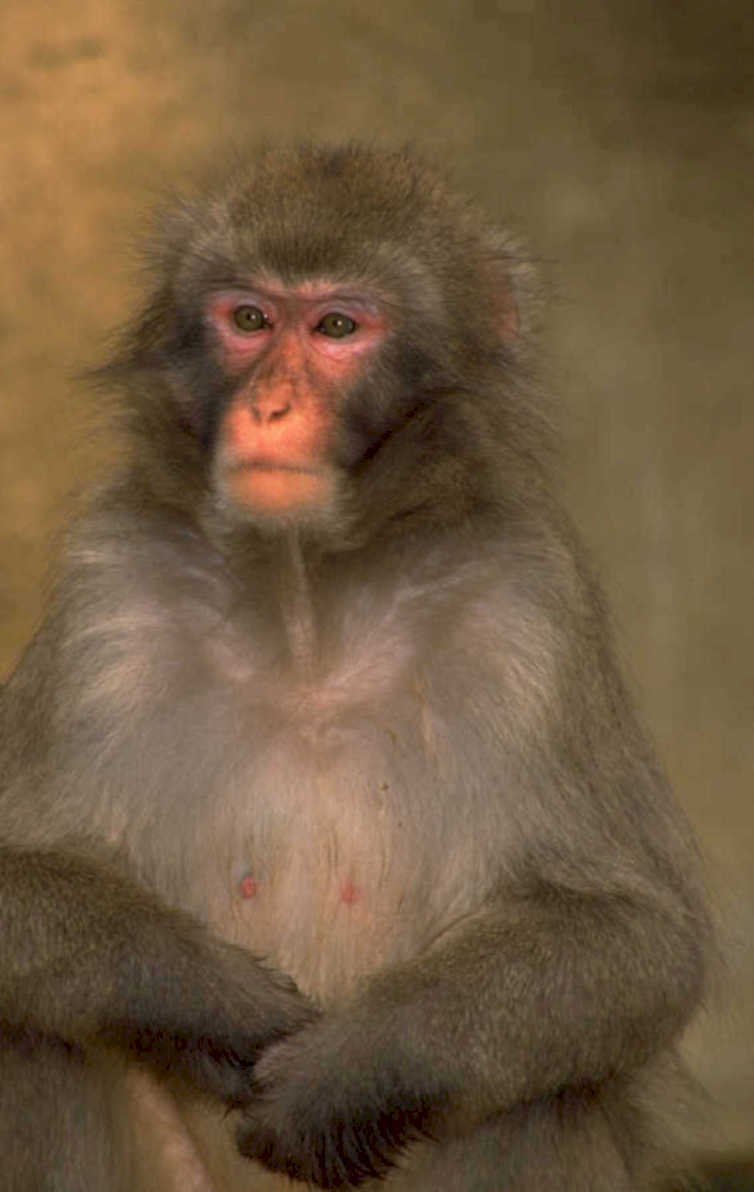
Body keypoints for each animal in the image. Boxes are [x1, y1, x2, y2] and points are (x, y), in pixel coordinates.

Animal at [0, 144, 710, 1192]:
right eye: (249, 319)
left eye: (337, 327)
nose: (270, 405)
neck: (308, 610)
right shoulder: (108, 590)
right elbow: (16, 882)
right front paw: (214, 1005)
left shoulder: (529, 607)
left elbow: (639, 940)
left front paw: (353, 1074)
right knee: (35, 1039)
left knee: (541, 1094)